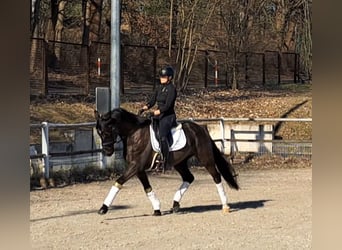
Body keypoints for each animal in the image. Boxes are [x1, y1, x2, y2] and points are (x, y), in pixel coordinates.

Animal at [95, 106, 239, 216]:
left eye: (109, 130)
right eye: (99, 132)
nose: (107, 151)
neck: (134, 133)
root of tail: (201, 128)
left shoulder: (136, 166)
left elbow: (119, 182)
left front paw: (103, 208)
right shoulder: (138, 169)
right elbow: (147, 188)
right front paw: (157, 208)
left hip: (205, 159)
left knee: (216, 176)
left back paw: (225, 206)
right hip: (179, 162)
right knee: (189, 177)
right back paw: (175, 204)